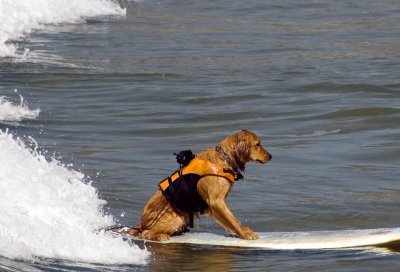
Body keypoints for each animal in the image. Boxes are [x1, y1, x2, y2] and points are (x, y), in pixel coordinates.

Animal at [122, 130, 272, 240]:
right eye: (257, 144)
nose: (270, 156)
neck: (223, 159)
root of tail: (141, 223)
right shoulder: (216, 201)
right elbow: (233, 220)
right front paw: (246, 234)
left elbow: (231, 221)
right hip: (177, 218)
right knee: (145, 233)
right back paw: (161, 236)